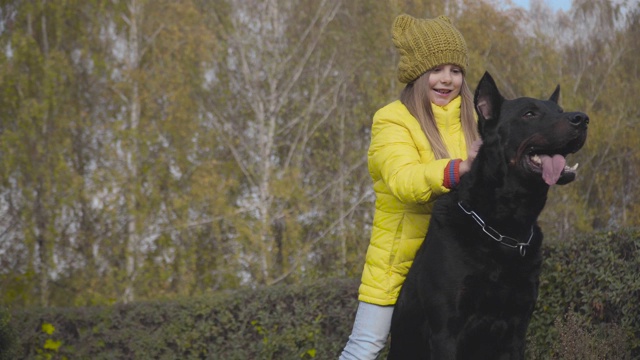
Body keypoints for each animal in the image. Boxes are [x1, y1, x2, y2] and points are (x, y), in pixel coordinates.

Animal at [388, 71, 588, 358]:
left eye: (560, 111)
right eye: (529, 114)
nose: (582, 118)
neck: (506, 227)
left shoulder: (516, 328)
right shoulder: (446, 330)